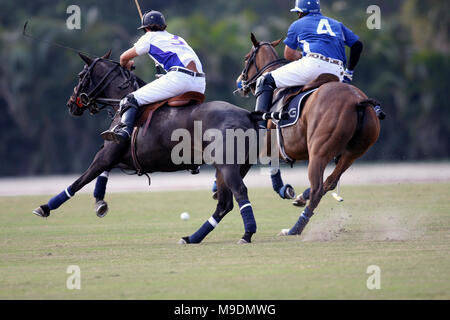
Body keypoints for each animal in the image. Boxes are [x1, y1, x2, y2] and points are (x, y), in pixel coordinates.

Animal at [237, 34, 382, 235]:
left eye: (246, 58)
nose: (241, 82)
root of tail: (358, 101)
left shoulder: (266, 145)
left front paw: (284, 190)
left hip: (318, 152)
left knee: (317, 188)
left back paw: (294, 228)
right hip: (353, 153)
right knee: (329, 182)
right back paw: (301, 201)